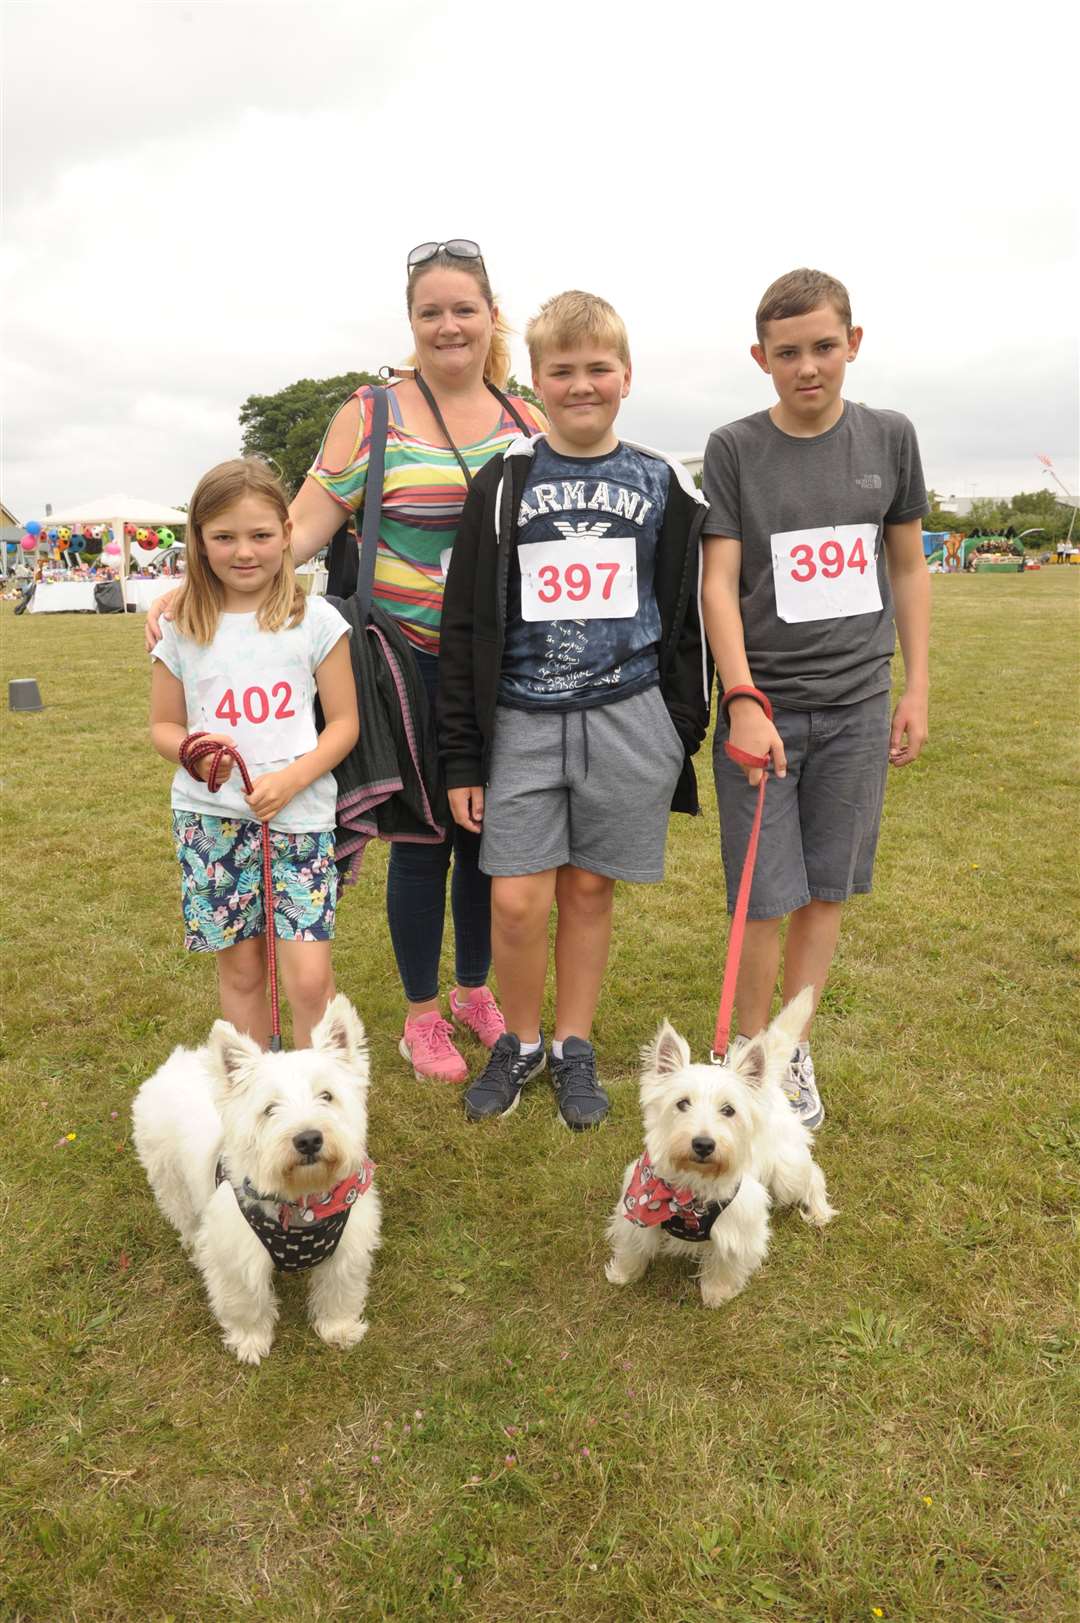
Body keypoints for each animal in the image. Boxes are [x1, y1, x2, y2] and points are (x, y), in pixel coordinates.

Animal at [133, 993, 381, 1363]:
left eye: (327, 1095)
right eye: (269, 1109)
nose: (309, 1139)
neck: (304, 1202)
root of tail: (176, 1060)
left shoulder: (347, 1250)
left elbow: (340, 1292)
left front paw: (339, 1329)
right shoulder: (238, 1258)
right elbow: (245, 1303)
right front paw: (250, 1343)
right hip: (170, 1179)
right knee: (186, 1219)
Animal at [600, 986, 828, 1304]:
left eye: (729, 1110)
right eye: (682, 1103)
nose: (703, 1144)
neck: (686, 1193)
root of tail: (770, 1084)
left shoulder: (740, 1225)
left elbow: (727, 1262)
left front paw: (716, 1294)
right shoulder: (636, 1207)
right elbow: (632, 1245)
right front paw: (623, 1274)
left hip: (787, 1172)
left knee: (813, 1175)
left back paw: (819, 1212)